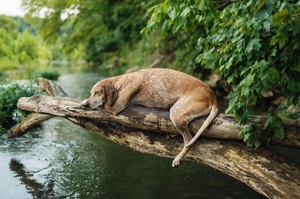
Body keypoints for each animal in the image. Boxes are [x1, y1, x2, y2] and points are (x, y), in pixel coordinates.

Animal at [82, 67, 218, 167]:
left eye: (97, 92)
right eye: (91, 93)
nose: (87, 104)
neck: (120, 82)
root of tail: (212, 95)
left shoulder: (116, 106)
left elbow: (103, 105)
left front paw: (84, 102)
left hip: (176, 112)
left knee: (189, 142)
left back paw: (178, 159)